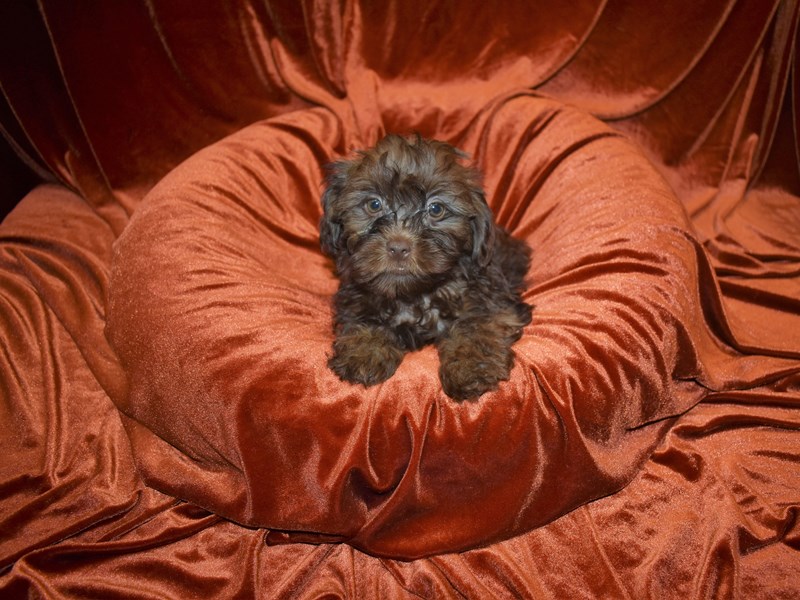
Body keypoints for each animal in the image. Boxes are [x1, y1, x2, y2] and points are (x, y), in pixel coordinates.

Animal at [318, 134, 532, 400]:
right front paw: (363, 352)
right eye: (374, 205)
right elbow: (364, 319)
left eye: (436, 209)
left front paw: (472, 367)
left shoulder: (491, 298)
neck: (414, 294)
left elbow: (478, 326)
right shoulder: (355, 295)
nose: (398, 247)